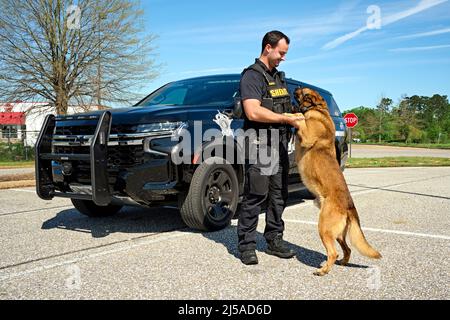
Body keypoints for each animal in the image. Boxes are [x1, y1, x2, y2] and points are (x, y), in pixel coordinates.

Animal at [284, 87, 380, 276]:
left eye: (302, 91)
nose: (295, 87)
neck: (319, 109)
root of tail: (350, 206)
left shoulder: (307, 135)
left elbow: (300, 117)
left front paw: (292, 113)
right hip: (338, 234)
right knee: (347, 249)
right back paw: (342, 262)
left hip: (324, 229)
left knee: (333, 252)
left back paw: (323, 270)